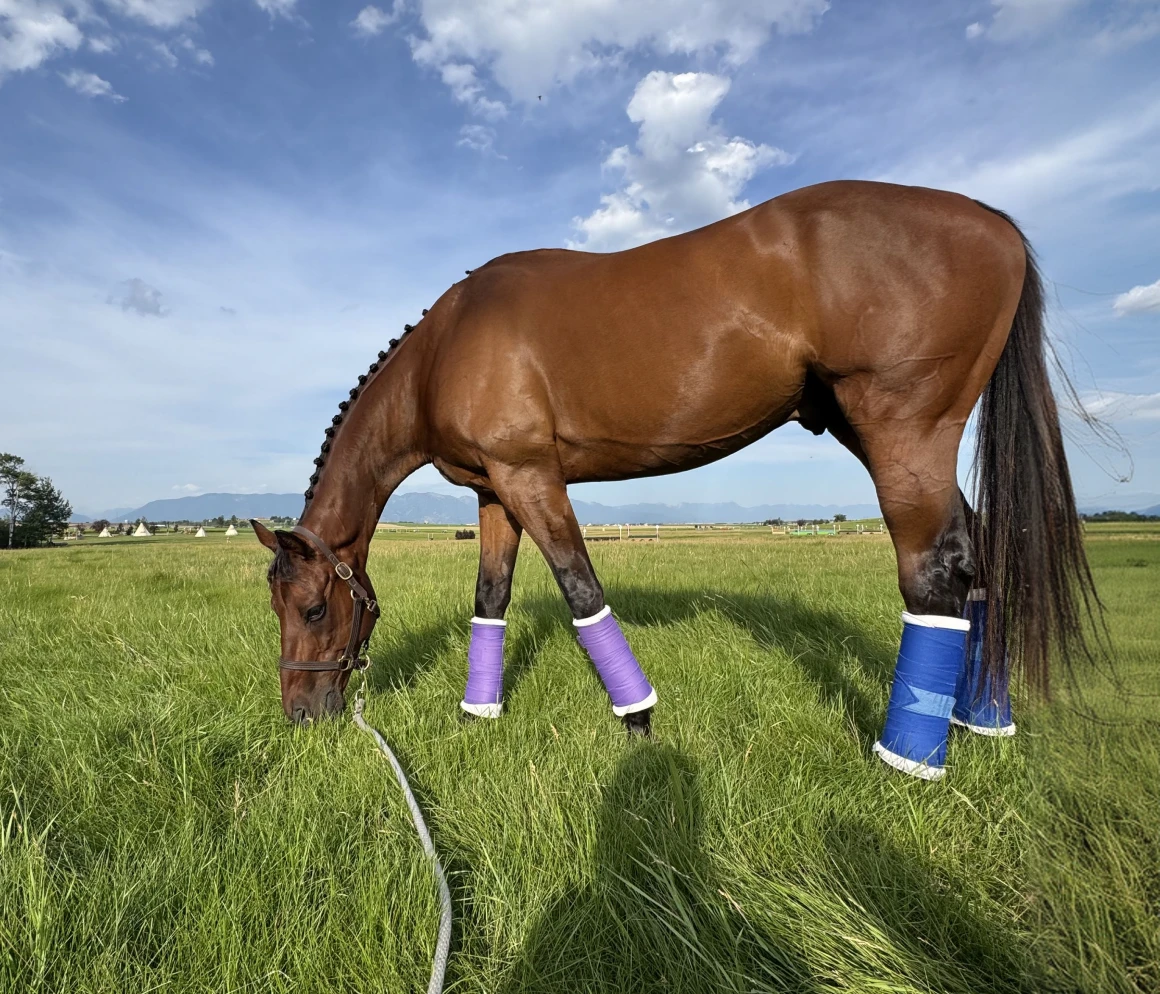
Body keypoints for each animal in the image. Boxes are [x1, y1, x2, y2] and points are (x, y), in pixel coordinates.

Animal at [251, 179, 1098, 779]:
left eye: (316, 608)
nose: (300, 714)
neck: (447, 345)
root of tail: (990, 221)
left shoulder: (530, 476)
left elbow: (581, 589)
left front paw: (639, 720)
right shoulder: (493, 491)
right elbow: (490, 599)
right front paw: (476, 717)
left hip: (901, 433)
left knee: (934, 571)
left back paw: (908, 763)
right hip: (872, 433)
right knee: (977, 554)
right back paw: (977, 720)